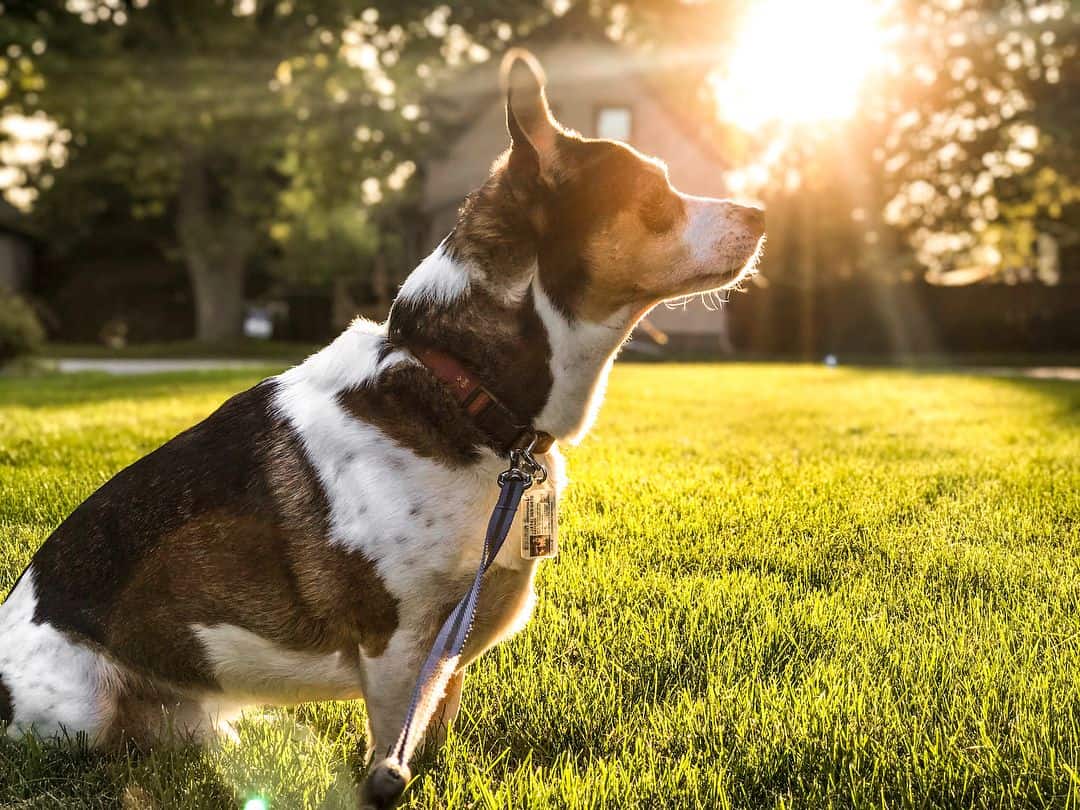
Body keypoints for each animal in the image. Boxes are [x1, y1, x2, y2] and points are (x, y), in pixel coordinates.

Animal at [0, 50, 760, 807]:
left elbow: (427, 741)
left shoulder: (445, 649)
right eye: (656, 193)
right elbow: (393, 753)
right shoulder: (399, 646)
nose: (760, 210)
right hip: (81, 713)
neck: (463, 391)